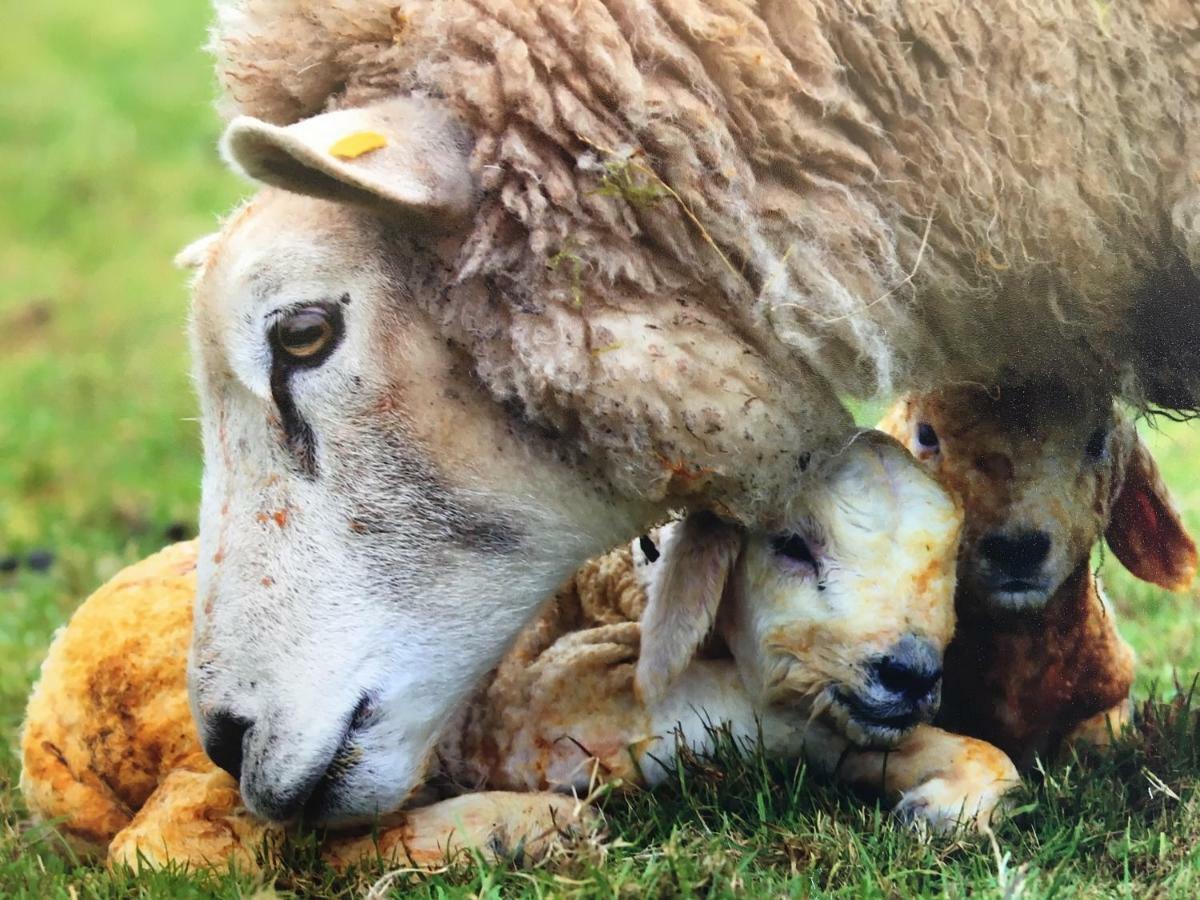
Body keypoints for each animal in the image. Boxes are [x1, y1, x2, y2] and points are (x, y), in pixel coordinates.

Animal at [21, 432, 1012, 873]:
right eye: (792, 545)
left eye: (951, 560)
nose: (910, 671)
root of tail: (44, 730)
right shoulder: (544, 705)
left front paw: (943, 800)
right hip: (254, 731)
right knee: (188, 850)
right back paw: (517, 831)